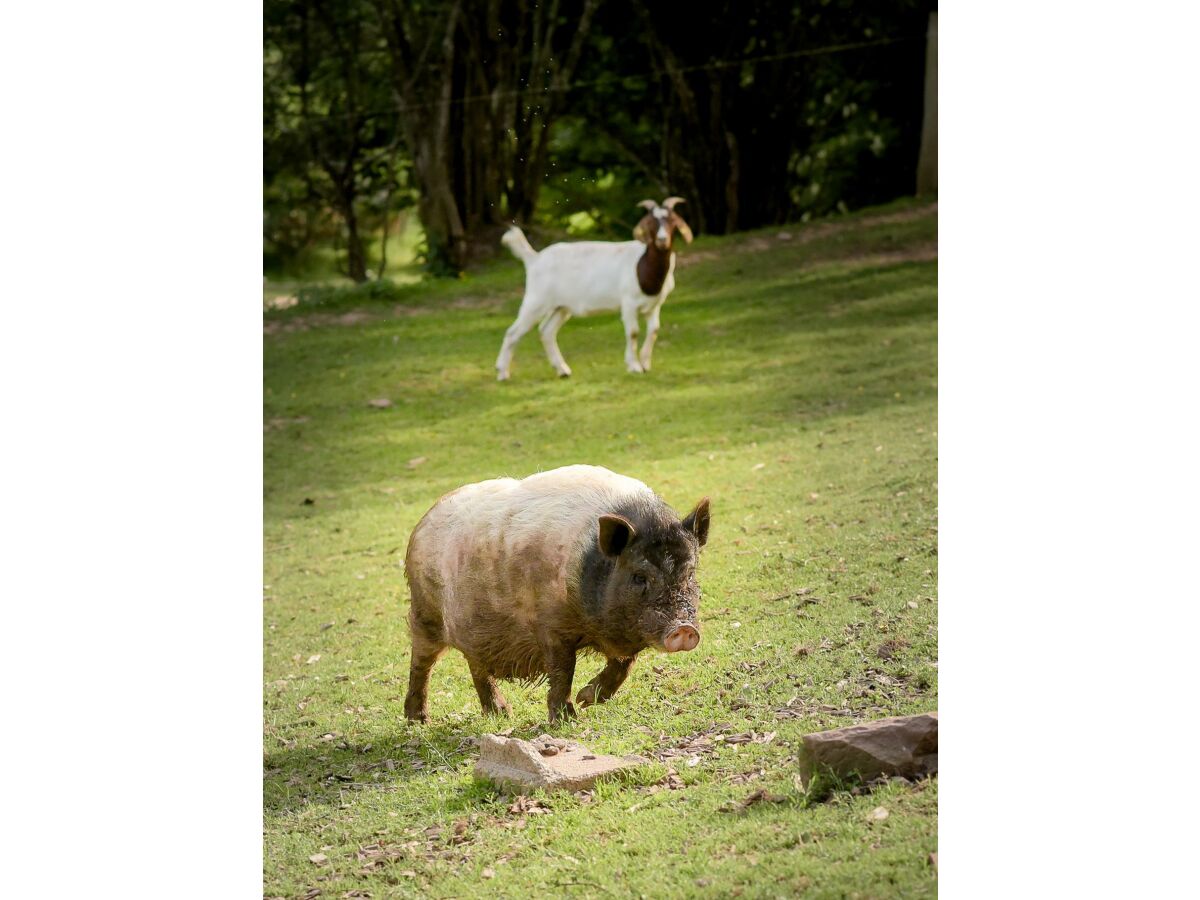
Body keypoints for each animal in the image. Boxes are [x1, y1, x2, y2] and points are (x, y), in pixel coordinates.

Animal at [403, 465, 705, 724]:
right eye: (639, 576)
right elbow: (563, 669)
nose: (684, 628)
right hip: (424, 610)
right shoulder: (549, 624)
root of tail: (422, 523)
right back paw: (418, 720)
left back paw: (502, 714)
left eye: (689, 572)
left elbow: (625, 663)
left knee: (475, 664)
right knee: (421, 662)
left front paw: (586, 700)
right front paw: (566, 719)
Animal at [494, 196, 696, 381]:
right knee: (513, 333)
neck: (643, 265)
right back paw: (502, 373)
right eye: (651, 223)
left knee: (546, 331)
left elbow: (654, 331)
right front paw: (634, 366)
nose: (662, 240)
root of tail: (534, 259)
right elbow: (633, 332)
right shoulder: (628, 303)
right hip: (537, 300)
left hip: (561, 307)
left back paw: (563, 370)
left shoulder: (654, 305)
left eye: (672, 221)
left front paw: (645, 364)